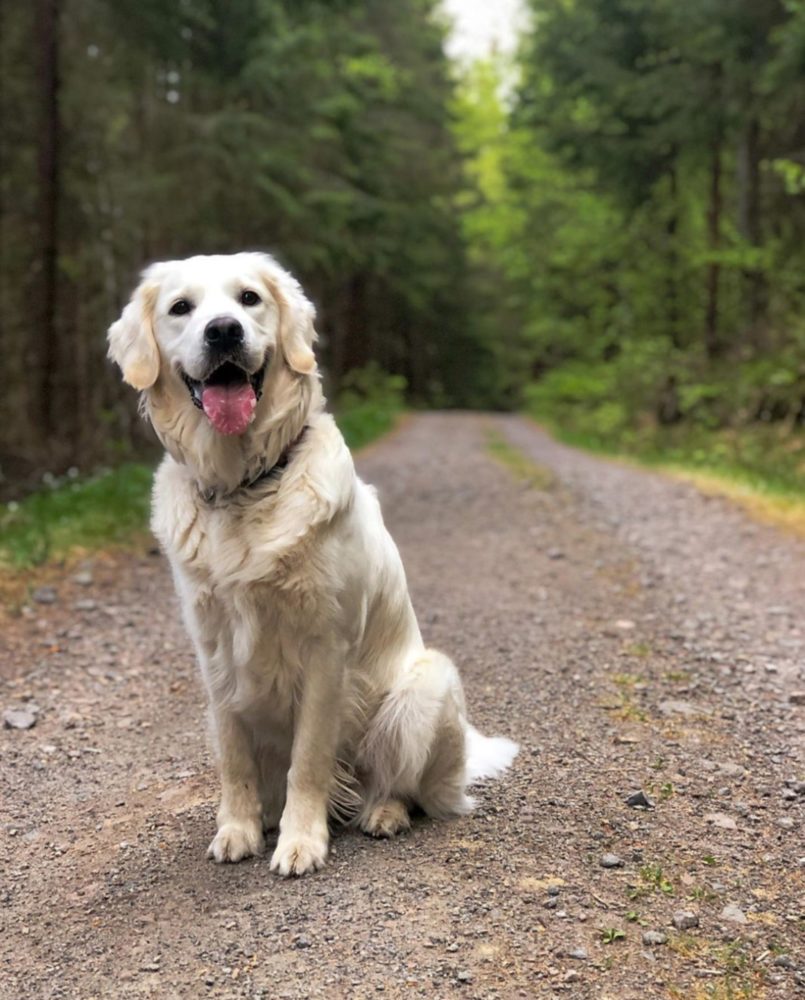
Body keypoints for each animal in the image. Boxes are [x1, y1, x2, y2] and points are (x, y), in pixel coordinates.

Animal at [107, 252, 516, 876]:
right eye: (181, 307)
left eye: (249, 298)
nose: (223, 331)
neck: (246, 484)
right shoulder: (214, 650)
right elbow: (234, 758)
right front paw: (238, 829)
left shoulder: (327, 648)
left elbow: (310, 758)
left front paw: (302, 842)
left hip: (427, 683)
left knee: (408, 788)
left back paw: (383, 813)